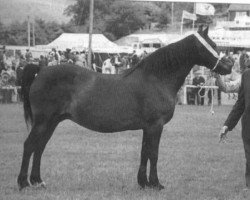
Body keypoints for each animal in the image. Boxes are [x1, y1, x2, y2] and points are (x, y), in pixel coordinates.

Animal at [18, 27, 234, 191]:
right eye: (214, 45)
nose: (229, 66)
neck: (156, 78)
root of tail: (41, 70)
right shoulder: (156, 126)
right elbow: (153, 154)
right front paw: (156, 184)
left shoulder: (148, 127)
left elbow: (144, 152)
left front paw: (143, 183)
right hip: (43, 122)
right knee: (29, 146)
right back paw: (23, 183)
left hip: (51, 122)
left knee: (39, 147)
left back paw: (38, 181)